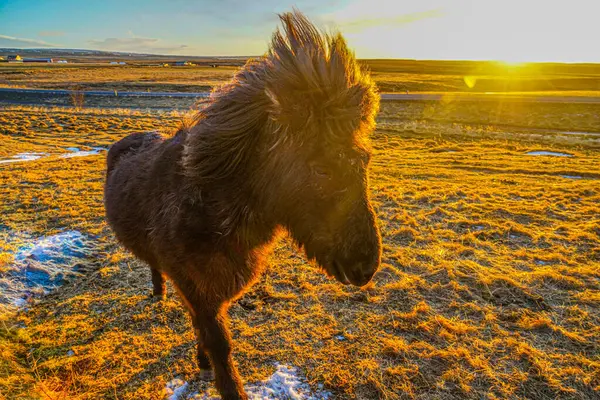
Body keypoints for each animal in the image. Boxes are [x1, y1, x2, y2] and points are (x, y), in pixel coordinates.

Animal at [103, 10, 380, 400]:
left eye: (366, 159)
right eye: (322, 167)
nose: (366, 267)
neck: (209, 206)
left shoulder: (212, 289)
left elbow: (206, 329)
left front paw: (202, 360)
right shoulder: (196, 286)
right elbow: (219, 341)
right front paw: (222, 378)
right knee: (154, 268)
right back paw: (157, 293)